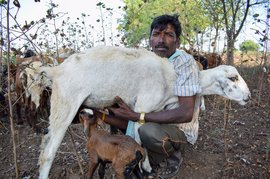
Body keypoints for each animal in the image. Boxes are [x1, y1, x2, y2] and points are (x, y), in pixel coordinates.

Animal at [37, 46, 250, 179]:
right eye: (233, 78)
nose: (248, 96)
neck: (171, 79)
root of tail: (56, 70)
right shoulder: (142, 107)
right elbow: (137, 138)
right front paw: (144, 166)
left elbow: (137, 135)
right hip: (65, 104)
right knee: (47, 154)